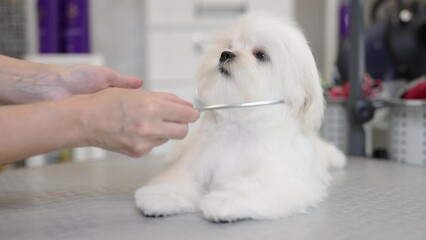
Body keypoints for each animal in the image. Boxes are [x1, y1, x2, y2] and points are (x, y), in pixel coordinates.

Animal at [136, 12, 346, 222]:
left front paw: (223, 203)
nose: (225, 54)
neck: (240, 123)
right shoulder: (195, 163)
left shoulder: (281, 178)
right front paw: (159, 196)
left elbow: (252, 187)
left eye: (261, 55)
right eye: (229, 45)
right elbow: (180, 177)